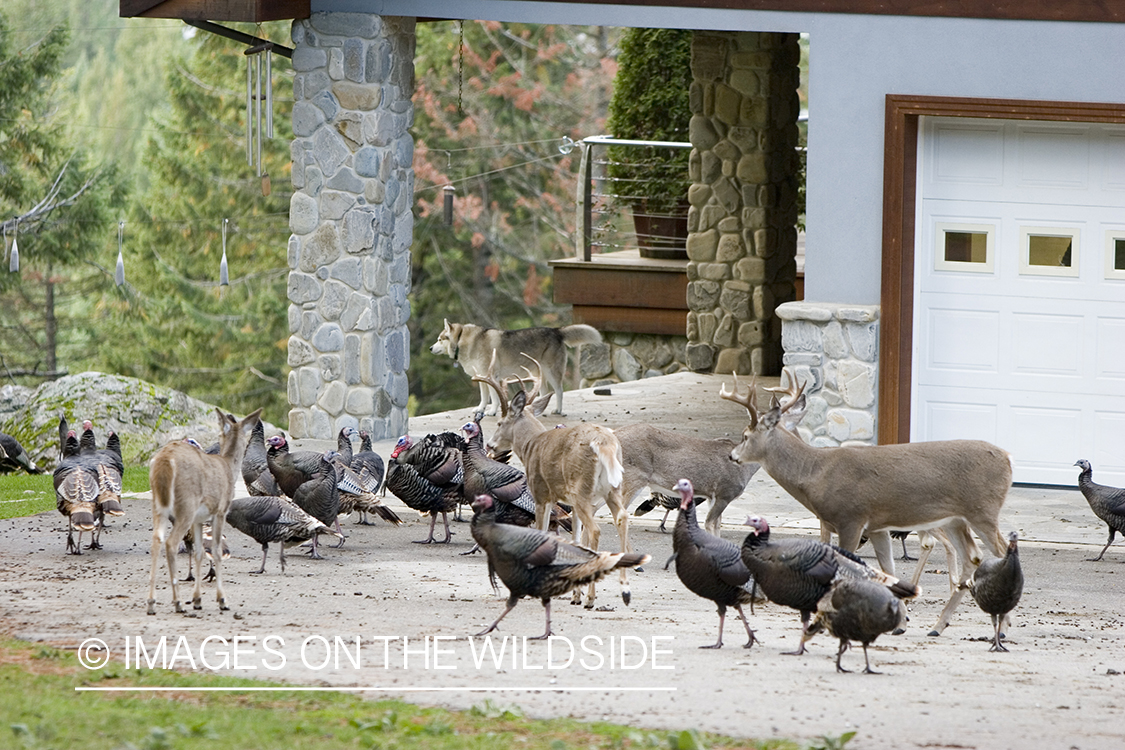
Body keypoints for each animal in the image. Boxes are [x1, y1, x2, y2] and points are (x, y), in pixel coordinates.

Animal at [146, 407, 262, 616]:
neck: (228, 467)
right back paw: (178, 603)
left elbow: (200, 552)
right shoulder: (220, 511)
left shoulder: (198, 519)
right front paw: (222, 600)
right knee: (171, 543)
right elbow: (215, 550)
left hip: (159, 504)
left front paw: (197, 600)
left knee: (156, 540)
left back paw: (151, 603)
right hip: (186, 504)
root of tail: (165, 460)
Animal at [473, 356, 635, 610]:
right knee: (622, 518)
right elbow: (576, 539)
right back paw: (624, 592)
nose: (490, 445)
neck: (531, 445)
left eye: (499, 422)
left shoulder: (541, 494)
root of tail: (605, 443)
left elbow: (542, 532)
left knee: (596, 530)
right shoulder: (568, 503)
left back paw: (591, 599)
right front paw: (575, 594)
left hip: (582, 489)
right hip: (611, 489)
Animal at [720, 374, 1012, 637]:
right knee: (973, 556)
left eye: (745, 435)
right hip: (955, 519)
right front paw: (899, 623)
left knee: (1002, 550)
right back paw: (939, 626)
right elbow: (888, 569)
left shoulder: (850, 518)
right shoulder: (877, 526)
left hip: (983, 510)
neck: (816, 473)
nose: (732, 455)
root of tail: (1008, 459)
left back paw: (1003, 627)